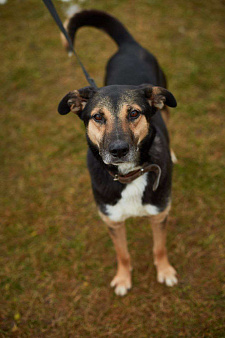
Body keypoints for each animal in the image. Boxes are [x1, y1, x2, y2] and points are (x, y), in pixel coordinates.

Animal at [58, 9, 178, 296]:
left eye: (134, 113)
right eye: (98, 117)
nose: (118, 150)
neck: (128, 175)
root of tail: (128, 45)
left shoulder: (160, 214)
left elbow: (159, 247)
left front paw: (165, 271)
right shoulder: (112, 221)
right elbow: (122, 254)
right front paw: (123, 279)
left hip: (166, 106)